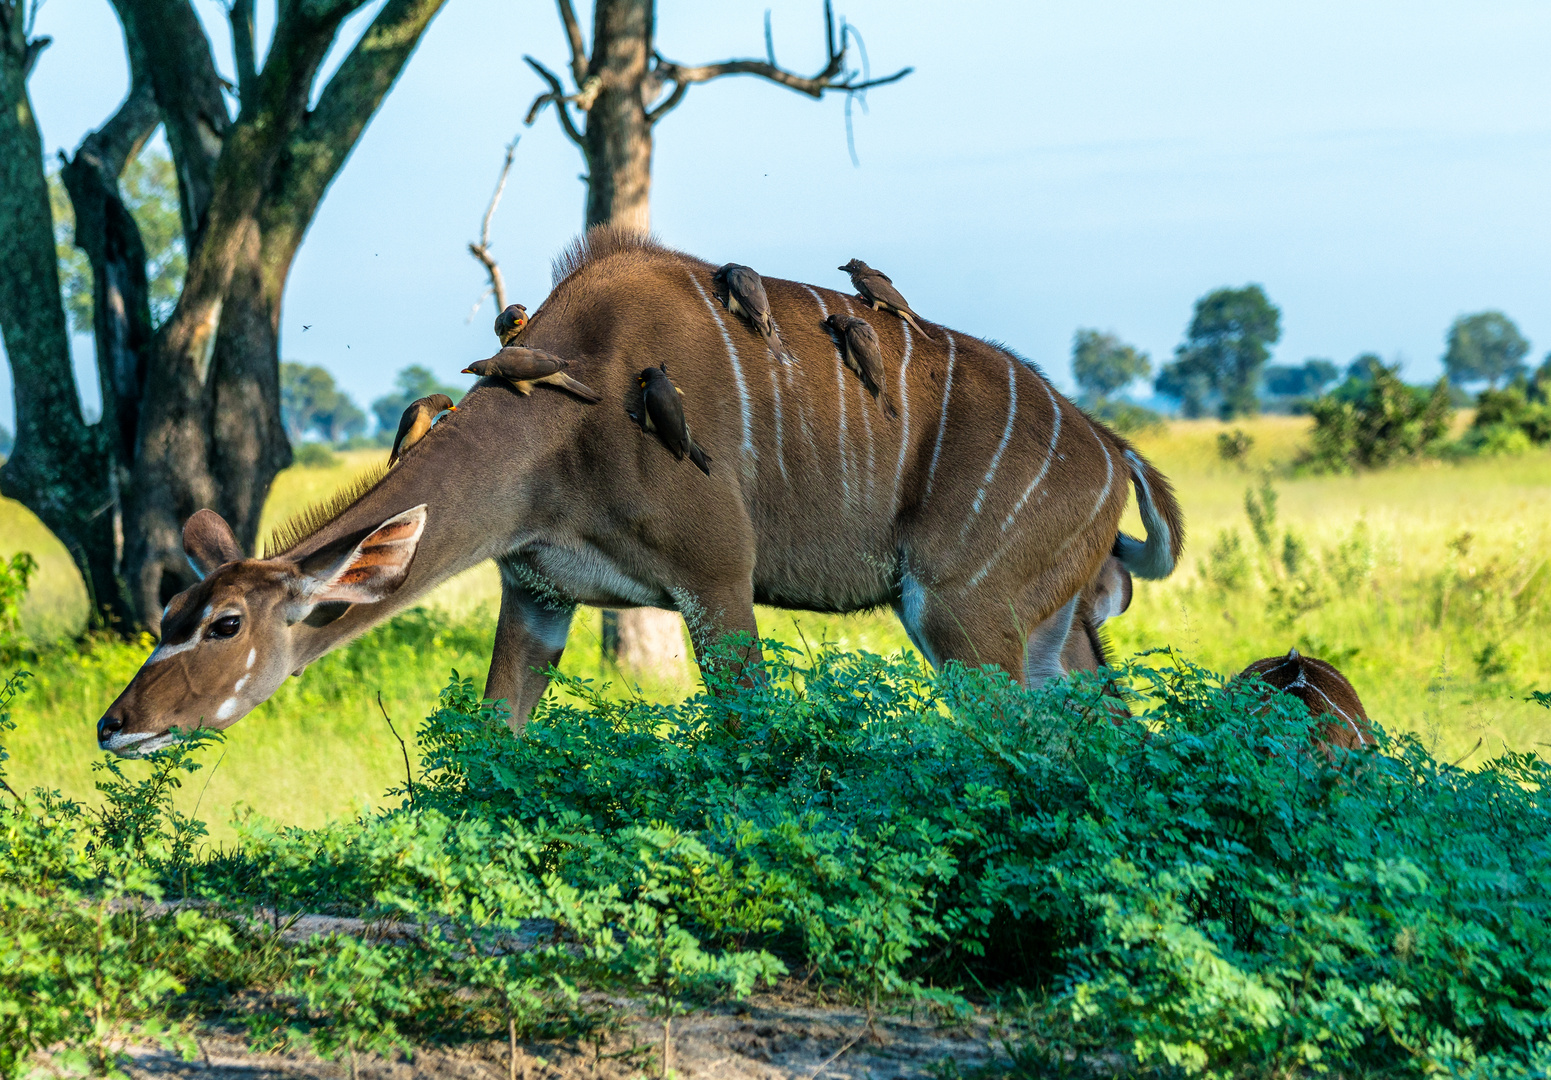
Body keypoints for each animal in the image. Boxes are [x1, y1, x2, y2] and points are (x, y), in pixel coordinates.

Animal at [100, 228, 1172, 751]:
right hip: (1054, 632)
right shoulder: (538, 594)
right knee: (1114, 737)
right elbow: (495, 740)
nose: (118, 725)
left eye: (225, 625)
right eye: (166, 617)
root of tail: (1111, 451)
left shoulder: (718, 584)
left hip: (961, 616)